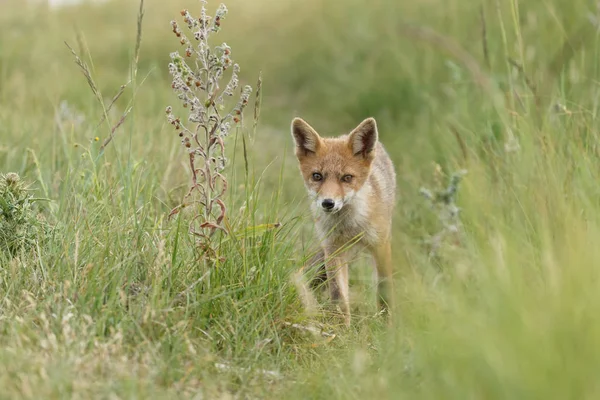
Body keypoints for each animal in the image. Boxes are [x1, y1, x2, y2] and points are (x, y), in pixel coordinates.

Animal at [292, 115, 396, 324]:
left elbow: (384, 289)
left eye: (347, 177)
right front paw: (342, 328)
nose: (328, 203)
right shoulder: (333, 249)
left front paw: (386, 325)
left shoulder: (380, 244)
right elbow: (339, 295)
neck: (351, 227)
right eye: (317, 176)